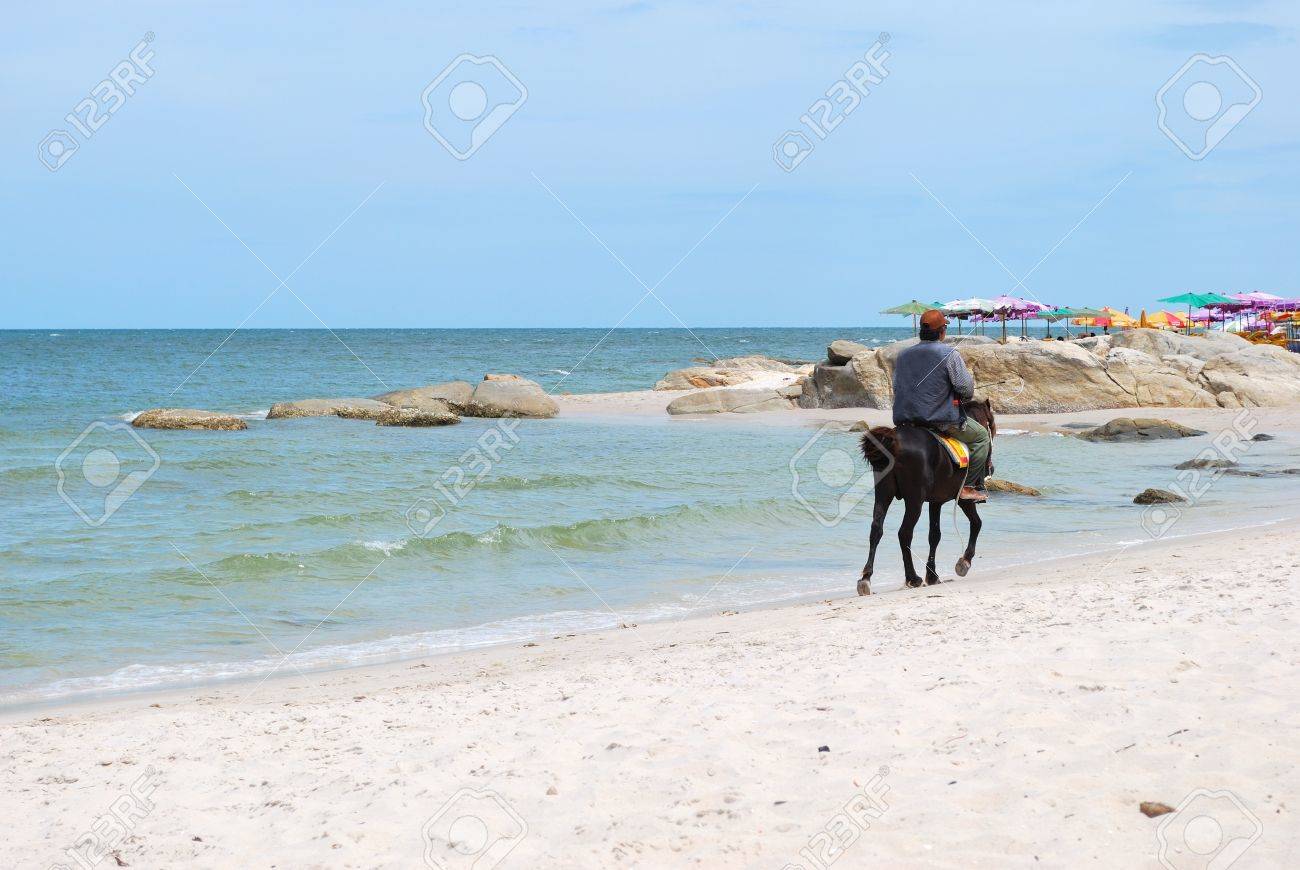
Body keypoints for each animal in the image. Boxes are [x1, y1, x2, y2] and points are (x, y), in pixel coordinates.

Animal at [855, 399, 996, 595]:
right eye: (992, 427)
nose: (991, 468)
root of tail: (894, 440)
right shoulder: (962, 499)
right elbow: (976, 523)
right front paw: (965, 560)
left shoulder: (935, 502)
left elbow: (934, 535)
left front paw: (932, 575)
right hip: (915, 500)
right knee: (904, 533)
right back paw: (912, 577)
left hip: (883, 493)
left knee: (876, 529)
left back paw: (866, 577)